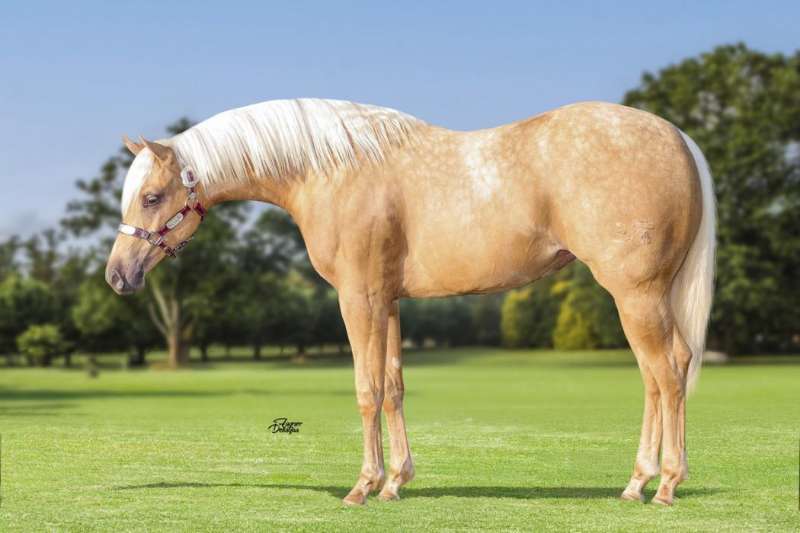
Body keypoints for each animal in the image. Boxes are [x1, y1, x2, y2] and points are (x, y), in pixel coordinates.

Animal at [106, 98, 715, 506]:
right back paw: (639, 483)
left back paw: (663, 485)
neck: (332, 169)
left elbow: (366, 390)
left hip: (635, 293)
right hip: (646, 297)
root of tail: (677, 138)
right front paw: (396, 482)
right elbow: (395, 388)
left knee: (665, 375)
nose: (118, 275)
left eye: (152, 196)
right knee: (666, 371)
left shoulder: (358, 299)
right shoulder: (389, 301)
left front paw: (362, 487)